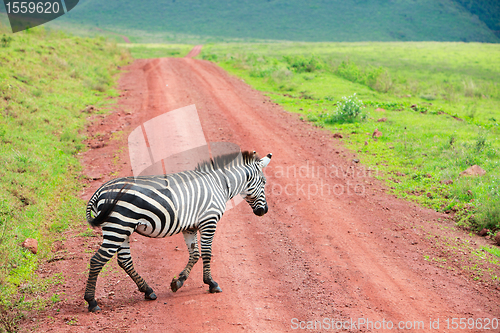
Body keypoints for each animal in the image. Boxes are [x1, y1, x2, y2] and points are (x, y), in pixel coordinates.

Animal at [84, 150, 272, 312]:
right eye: (263, 182)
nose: (264, 211)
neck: (219, 184)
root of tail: (100, 190)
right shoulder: (209, 220)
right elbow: (207, 252)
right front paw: (211, 283)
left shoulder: (190, 227)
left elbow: (195, 254)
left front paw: (178, 282)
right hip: (118, 226)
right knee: (97, 260)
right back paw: (92, 302)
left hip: (122, 229)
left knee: (124, 261)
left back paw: (148, 291)